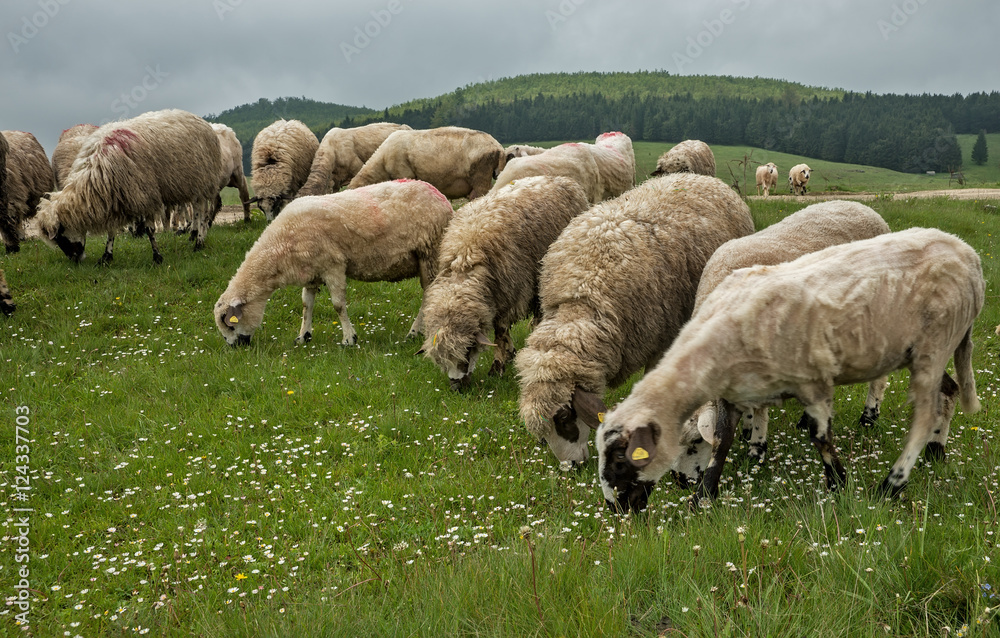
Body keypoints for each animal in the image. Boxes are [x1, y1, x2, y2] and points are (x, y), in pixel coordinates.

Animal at [35, 109, 222, 264]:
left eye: (60, 236)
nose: (75, 259)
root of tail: (199, 119)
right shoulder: (114, 197)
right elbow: (111, 230)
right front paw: (106, 257)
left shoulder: (146, 195)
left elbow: (150, 229)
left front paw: (157, 257)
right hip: (192, 184)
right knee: (197, 211)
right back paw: (194, 236)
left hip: (203, 180)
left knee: (201, 212)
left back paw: (199, 241)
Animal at [214, 179, 454, 347]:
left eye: (229, 325)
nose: (235, 347)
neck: (281, 245)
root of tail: (440, 196)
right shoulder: (311, 271)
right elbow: (306, 304)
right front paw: (303, 336)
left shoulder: (333, 265)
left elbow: (338, 305)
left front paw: (349, 339)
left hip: (430, 252)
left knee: (430, 293)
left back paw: (414, 332)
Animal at [420, 176, 592, 391]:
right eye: (442, 362)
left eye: (467, 352)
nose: (456, 388)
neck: (466, 259)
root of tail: (563, 179)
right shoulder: (496, 298)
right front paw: (509, 353)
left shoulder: (509, 294)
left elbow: (500, 332)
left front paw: (498, 366)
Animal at [597, 227, 984, 513]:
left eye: (620, 461)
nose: (616, 510)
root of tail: (970, 256)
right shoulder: (735, 393)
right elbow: (722, 440)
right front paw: (703, 498)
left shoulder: (812, 382)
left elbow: (819, 436)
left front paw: (838, 484)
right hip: (928, 349)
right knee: (949, 392)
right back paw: (936, 451)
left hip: (935, 343)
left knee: (925, 414)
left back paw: (891, 484)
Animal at [684, 201, 892, 468]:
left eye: (695, 442)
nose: (681, 479)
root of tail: (865, 208)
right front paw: (747, 430)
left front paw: (756, 450)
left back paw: (869, 417)